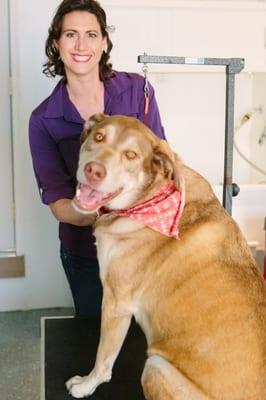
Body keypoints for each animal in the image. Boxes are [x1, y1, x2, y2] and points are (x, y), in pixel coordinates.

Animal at [66, 114, 266, 398]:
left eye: (131, 155)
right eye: (99, 137)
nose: (94, 170)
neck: (149, 199)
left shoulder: (116, 303)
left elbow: (103, 358)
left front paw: (86, 385)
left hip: (154, 366)